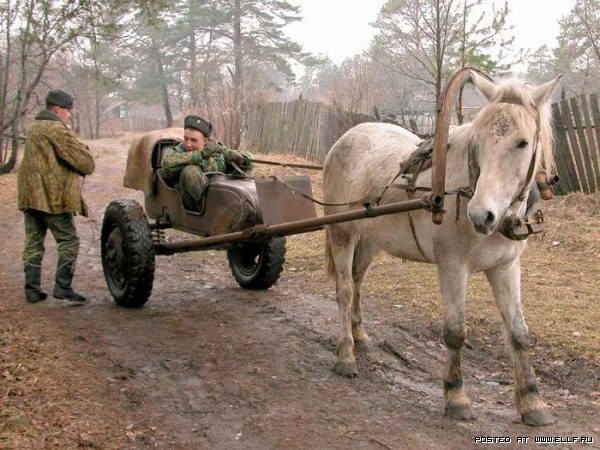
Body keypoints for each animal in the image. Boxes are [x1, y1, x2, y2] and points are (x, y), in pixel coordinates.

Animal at [324, 73, 564, 426]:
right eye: (479, 140)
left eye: (522, 143)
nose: (481, 214)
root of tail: (347, 138)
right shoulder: (452, 267)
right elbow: (455, 331)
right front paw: (456, 396)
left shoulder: (505, 267)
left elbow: (518, 332)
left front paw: (532, 402)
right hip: (342, 231)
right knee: (343, 289)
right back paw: (345, 355)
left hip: (368, 240)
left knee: (357, 282)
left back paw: (359, 336)